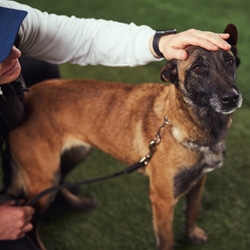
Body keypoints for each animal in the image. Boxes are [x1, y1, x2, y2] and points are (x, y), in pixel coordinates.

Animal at [4, 23, 241, 250]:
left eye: (229, 62)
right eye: (198, 68)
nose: (232, 98)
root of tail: (26, 98)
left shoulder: (199, 182)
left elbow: (192, 210)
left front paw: (192, 234)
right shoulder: (162, 199)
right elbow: (167, 240)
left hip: (75, 155)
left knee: (61, 182)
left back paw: (79, 203)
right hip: (44, 178)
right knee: (32, 224)